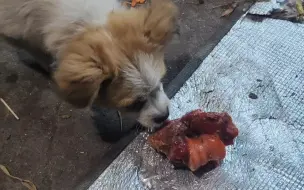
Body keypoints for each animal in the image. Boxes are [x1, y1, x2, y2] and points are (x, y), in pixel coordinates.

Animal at [0, 0, 178, 129]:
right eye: (134, 104)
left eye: (160, 83)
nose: (165, 116)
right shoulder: (14, 32)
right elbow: (35, 51)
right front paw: (50, 68)